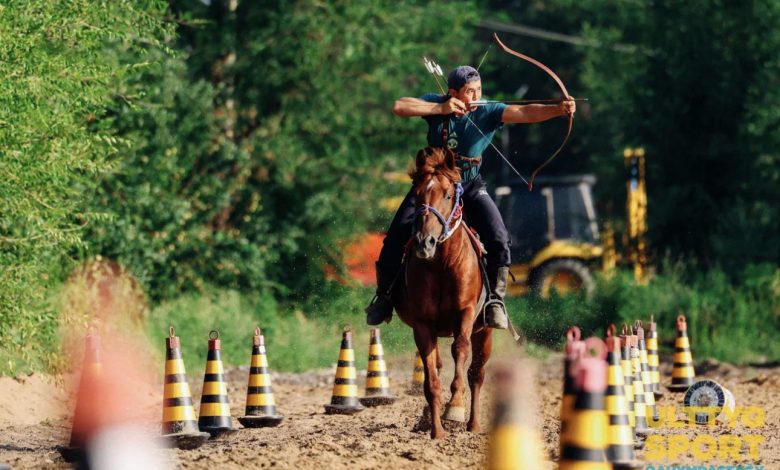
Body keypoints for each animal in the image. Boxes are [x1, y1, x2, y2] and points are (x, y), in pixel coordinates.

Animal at [396, 148, 494, 440]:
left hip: (485, 330)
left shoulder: (465, 313)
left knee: (476, 373)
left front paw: (455, 407)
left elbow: (460, 350)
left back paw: (473, 424)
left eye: (448, 195)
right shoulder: (422, 324)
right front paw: (436, 430)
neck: (442, 265)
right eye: (417, 195)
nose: (423, 242)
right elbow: (431, 380)